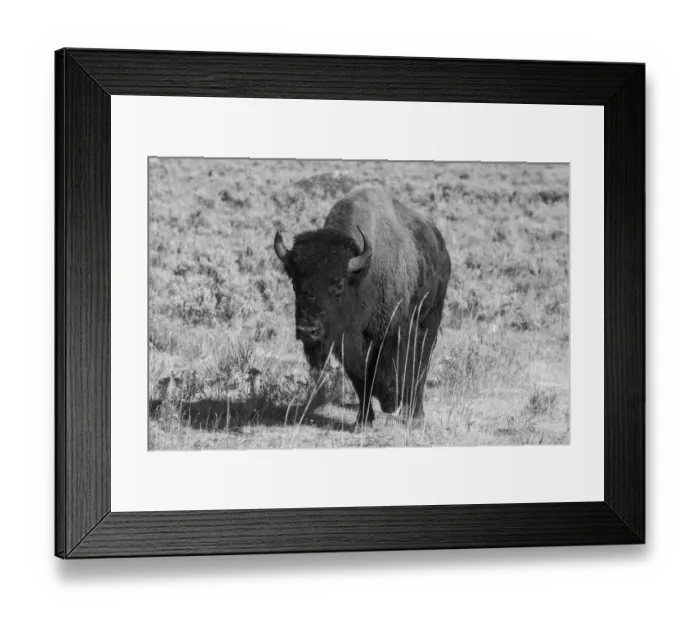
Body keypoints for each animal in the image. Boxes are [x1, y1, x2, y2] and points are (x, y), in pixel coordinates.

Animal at [274, 184, 451, 428]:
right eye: (294, 281)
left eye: (339, 284)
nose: (308, 331)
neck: (361, 276)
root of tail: (440, 244)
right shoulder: (348, 343)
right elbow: (361, 379)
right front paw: (363, 421)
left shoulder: (395, 333)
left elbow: (397, 368)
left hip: (430, 319)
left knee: (421, 366)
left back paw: (415, 417)